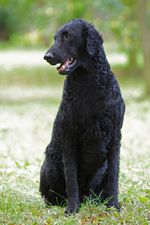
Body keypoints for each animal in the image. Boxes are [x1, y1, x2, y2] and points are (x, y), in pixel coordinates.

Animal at [39, 18, 125, 214]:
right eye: (55, 38)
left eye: (67, 36)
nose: (47, 56)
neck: (88, 84)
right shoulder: (69, 135)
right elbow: (71, 179)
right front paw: (72, 208)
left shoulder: (115, 136)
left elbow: (114, 176)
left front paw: (113, 205)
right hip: (50, 164)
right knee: (53, 195)